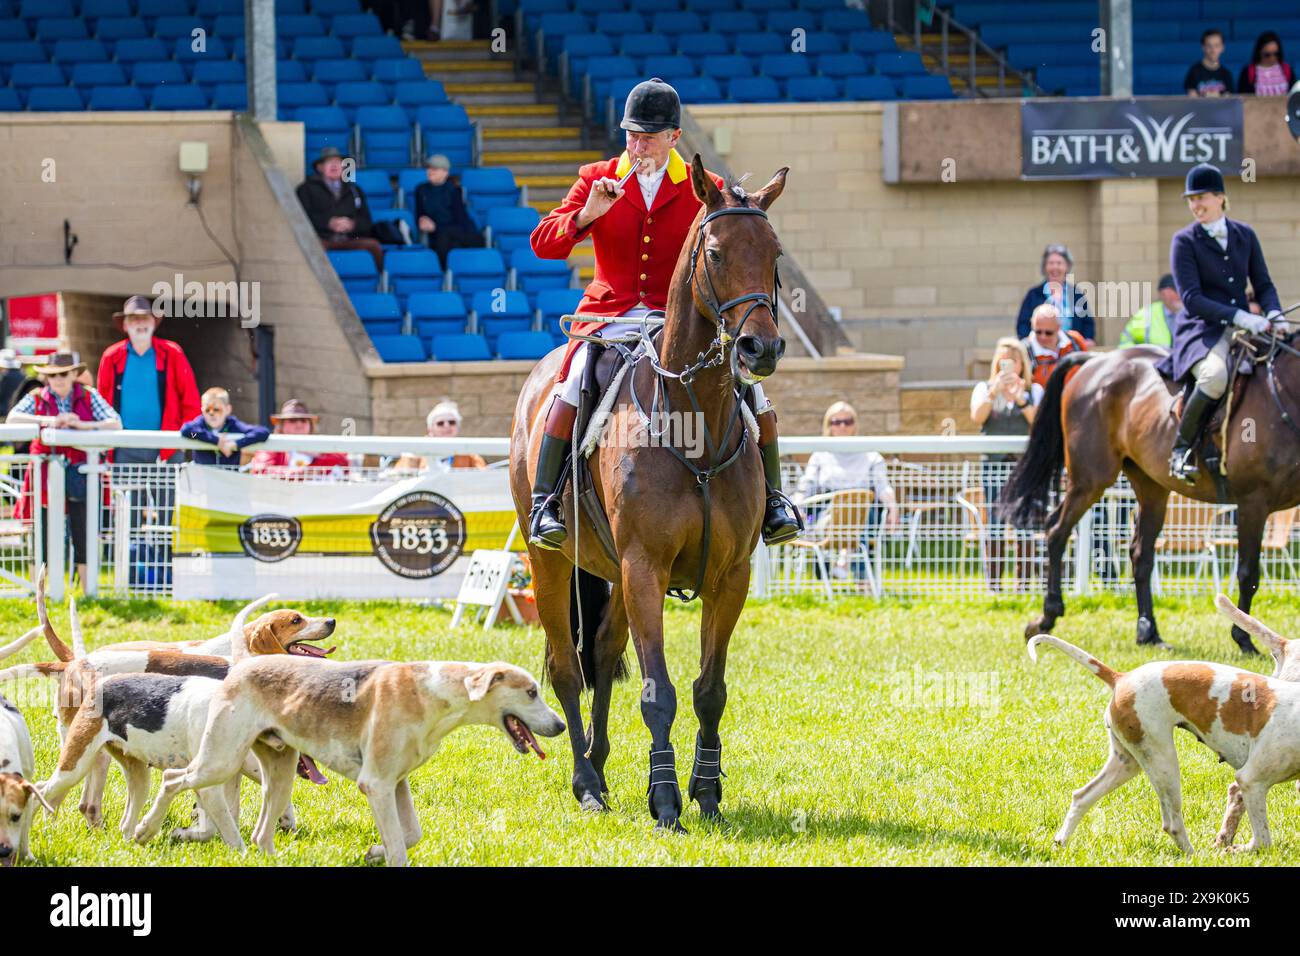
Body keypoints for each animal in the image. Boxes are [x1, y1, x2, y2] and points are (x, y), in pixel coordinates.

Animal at [506, 155, 790, 832]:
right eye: (715, 252)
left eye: (774, 255)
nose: (760, 349)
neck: (695, 419)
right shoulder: (644, 568)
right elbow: (658, 693)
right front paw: (665, 803)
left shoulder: (729, 576)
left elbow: (709, 691)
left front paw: (705, 793)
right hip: (550, 562)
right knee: (567, 668)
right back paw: (586, 783)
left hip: (610, 572)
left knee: (604, 655)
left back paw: (602, 767)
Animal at [1003, 335, 1300, 658]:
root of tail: (1097, 360)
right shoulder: (1252, 502)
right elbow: (1248, 574)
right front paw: (1244, 640)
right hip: (1090, 480)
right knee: (1058, 530)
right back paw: (1047, 617)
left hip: (1151, 486)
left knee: (1140, 552)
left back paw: (1148, 632)